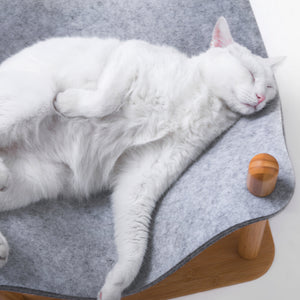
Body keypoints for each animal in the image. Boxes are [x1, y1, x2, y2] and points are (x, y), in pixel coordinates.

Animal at [0, 17, 282, 300]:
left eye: (269, 87)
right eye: (250, 73)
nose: (260, 98)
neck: (205, 102)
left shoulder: (145, 175)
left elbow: (135, 238)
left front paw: (117, 284)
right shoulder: (131, 55)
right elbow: (104, 101)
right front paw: (68, 103)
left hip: (39, 180)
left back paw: (1, 245)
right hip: (35, 98)